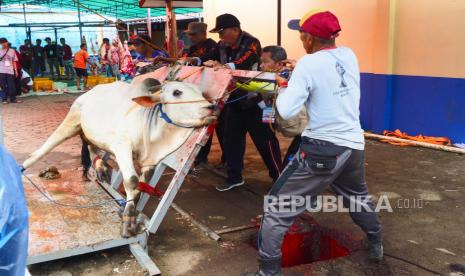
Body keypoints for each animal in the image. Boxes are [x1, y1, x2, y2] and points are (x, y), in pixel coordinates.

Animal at [22, 78, 215, 237]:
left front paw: (129, 212)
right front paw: (128, 222)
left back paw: (101, 168)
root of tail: (89, 92)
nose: (211, 107)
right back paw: (23, 167)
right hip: (71, 122)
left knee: (92, 148)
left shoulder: (151, 162)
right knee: (44, 149)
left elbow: (140, 187)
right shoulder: (122, 147)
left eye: (201, 92)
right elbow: (131, 181)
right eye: (177, 92)